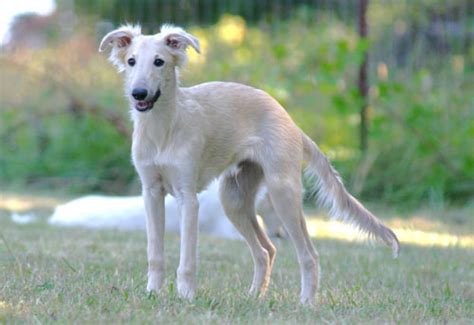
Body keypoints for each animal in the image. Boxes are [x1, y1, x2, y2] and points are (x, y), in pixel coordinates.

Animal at [98, 24, 398, 304]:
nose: (139, 93)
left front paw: (186, 297)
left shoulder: (188, 198)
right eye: (131, 61)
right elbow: (154, 254)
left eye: (159, 61)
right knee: (266, 250)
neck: (164, 129)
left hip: (283, 194)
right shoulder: (151, 192)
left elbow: (187, 260)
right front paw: (152, 292)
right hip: (235, 199)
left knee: (309, 254)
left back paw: (306, 302)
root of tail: (291, 121)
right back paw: (254, 296)